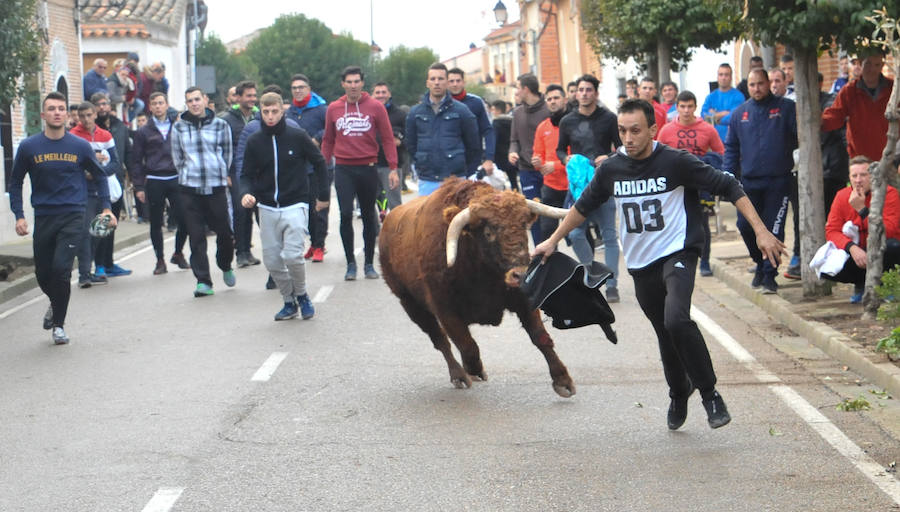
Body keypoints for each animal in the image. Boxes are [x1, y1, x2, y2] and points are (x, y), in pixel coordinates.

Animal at [376, 178, 572, 398]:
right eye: (488, 232)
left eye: (523, 226)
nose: (520, 275)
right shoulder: (445, 310)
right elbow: (468, 346)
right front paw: (475, 370)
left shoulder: (523, 300)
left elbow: (540, 337)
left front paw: (562, 380)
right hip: (410, 305)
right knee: (440, 340)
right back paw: (459, 376)